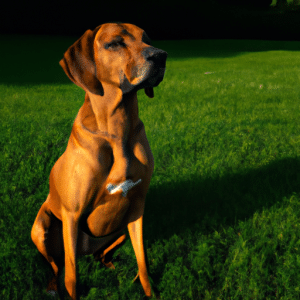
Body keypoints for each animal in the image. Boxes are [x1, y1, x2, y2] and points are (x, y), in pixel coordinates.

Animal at [31, 22, 168, 298]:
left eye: (147, 40)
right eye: (114, 43)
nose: (161, 56)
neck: (117, 130)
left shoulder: (137, 207)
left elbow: (143, 261)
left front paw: (148, 290)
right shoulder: (72, 215)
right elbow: (71, 277)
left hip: (120, 229)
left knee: (101, 255)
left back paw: (111, 266)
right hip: (41, 227)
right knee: (55, 266)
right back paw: (52, 286)